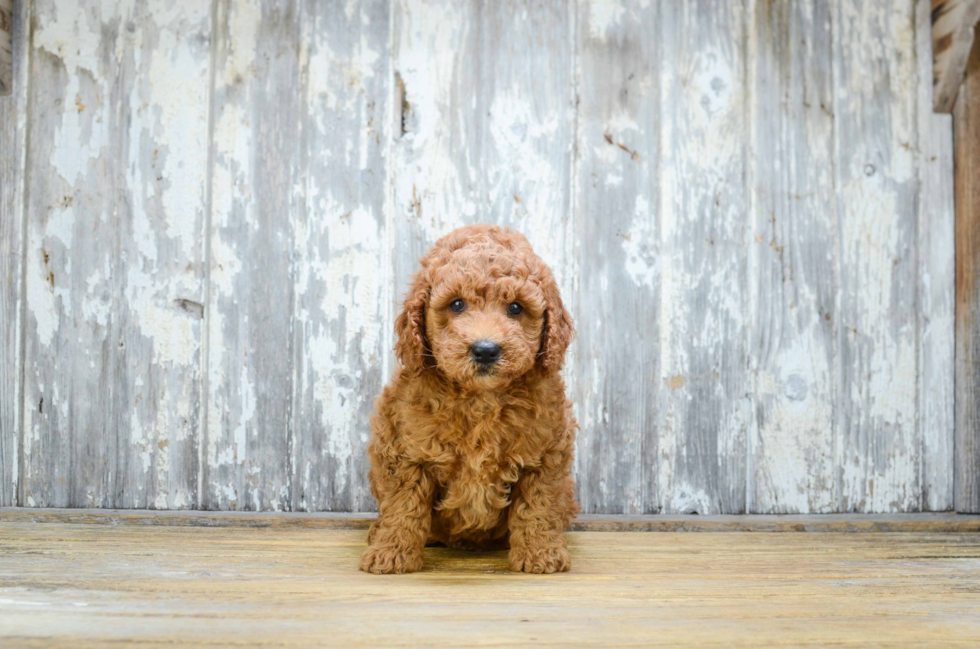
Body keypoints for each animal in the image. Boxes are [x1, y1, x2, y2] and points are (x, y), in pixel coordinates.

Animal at [358, 223, 576, 572]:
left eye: (516, 308)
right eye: (457, 304)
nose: (485, 349)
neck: (480, 398)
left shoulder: (546, 452)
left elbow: (537, 506)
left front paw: (541, 554)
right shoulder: (403, 449)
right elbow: (403, 505)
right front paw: (390, 553)